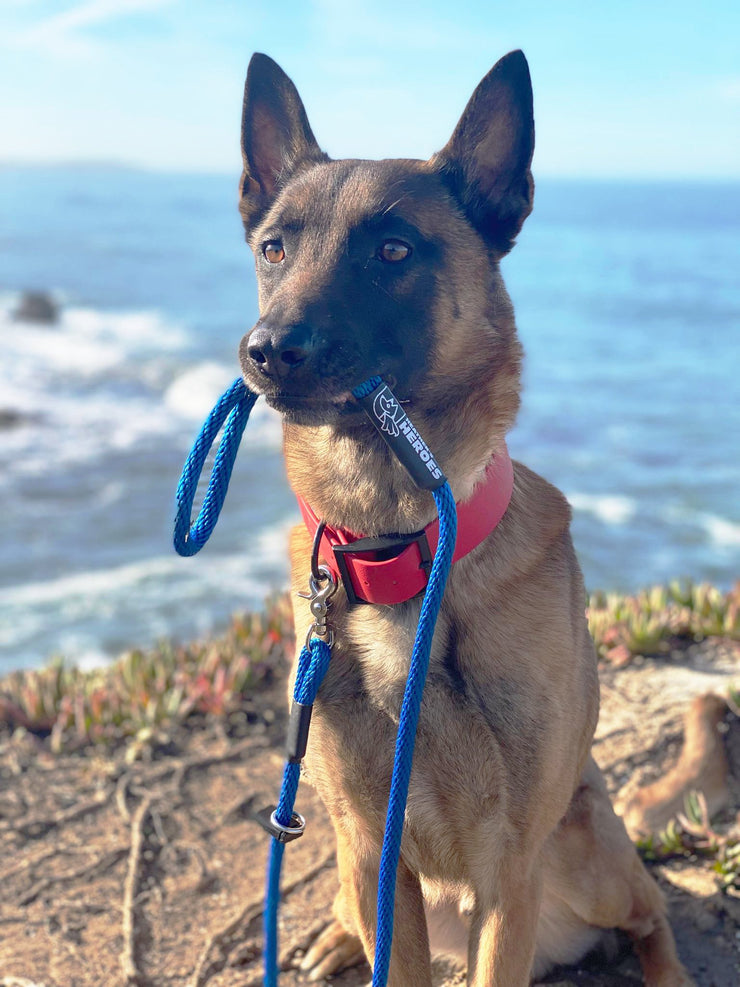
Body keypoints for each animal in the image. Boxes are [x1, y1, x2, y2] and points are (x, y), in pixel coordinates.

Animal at [238, 50, 692, 984]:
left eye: (393, 249)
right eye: (273, 248)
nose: (266, 350)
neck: (399, 545)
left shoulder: (508, 866)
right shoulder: (372, 850)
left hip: (585, 853)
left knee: (652, 911)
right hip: (354, 863)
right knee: (349, 906)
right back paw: (333, 936)